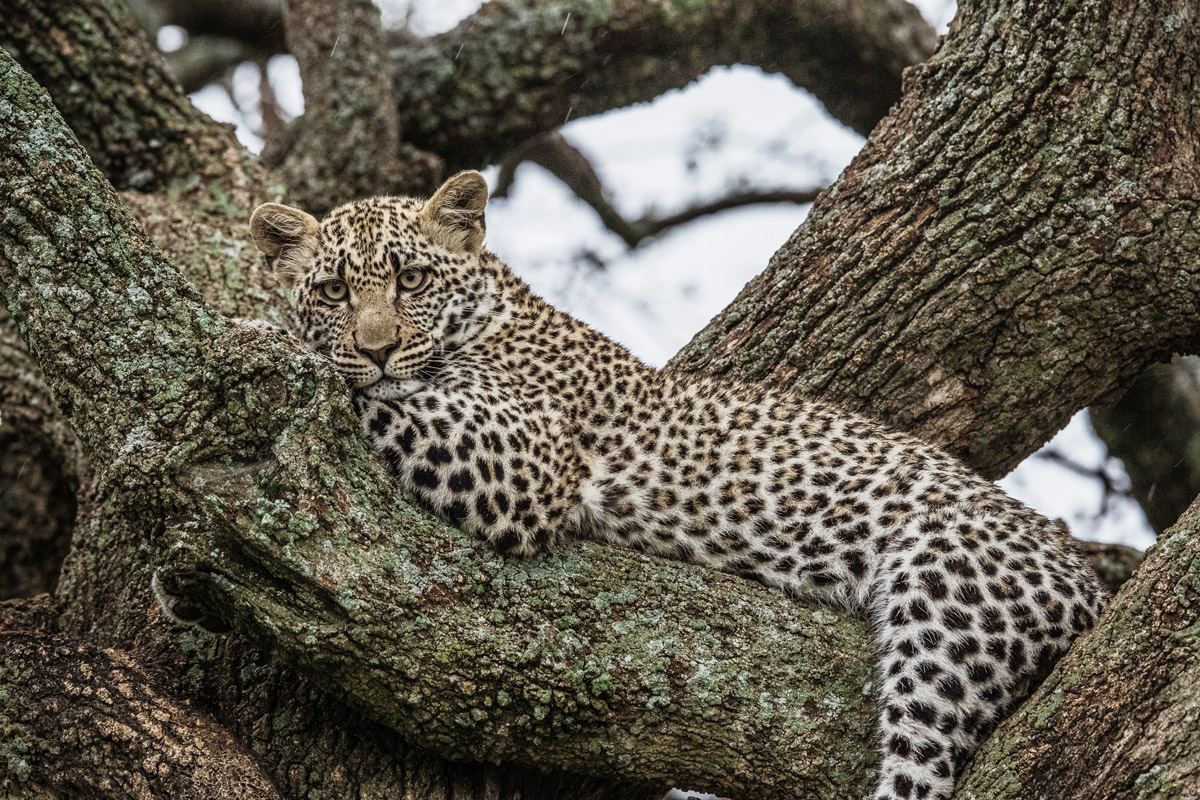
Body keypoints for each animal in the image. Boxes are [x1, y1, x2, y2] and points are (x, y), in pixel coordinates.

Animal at [162, 170, 1104, 800]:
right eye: (330, 289)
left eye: (411, 278)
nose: (379, 343)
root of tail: (1088, 576)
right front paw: (175, 577)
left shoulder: (528, 456)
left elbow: (371, 395)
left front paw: (260, 342)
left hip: (949, 589)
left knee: (919, 767)